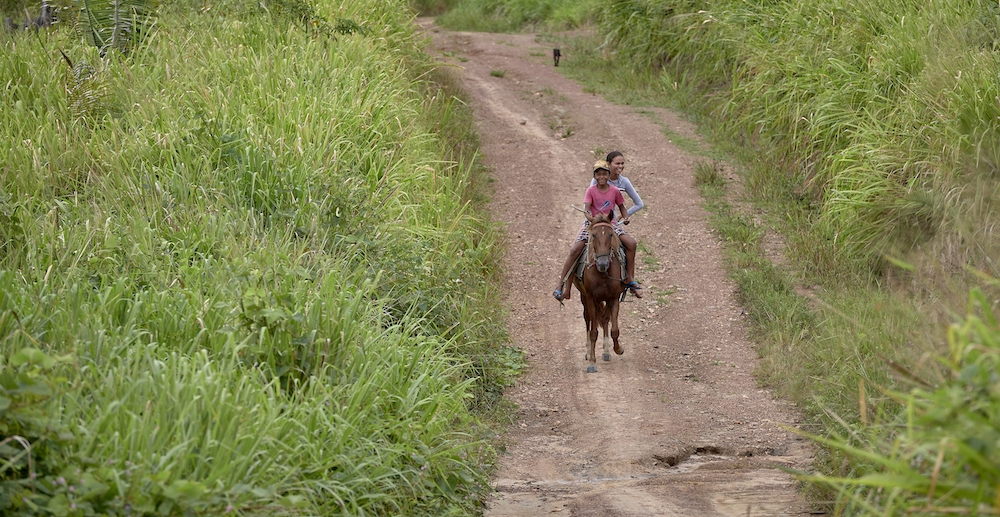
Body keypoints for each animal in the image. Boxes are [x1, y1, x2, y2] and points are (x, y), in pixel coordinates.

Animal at [572, 212, 624, 372]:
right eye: (594, 235)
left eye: (610, 234)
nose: (602, 263)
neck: (602, 274)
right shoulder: (590, 298)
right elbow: (593, 331)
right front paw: (592, 362)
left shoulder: (613, 298)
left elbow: (615, 329)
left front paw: (618, 349)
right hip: (585, 299)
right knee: (588, 320)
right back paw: (588, 352)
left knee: (605, 319)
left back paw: (606, 351)